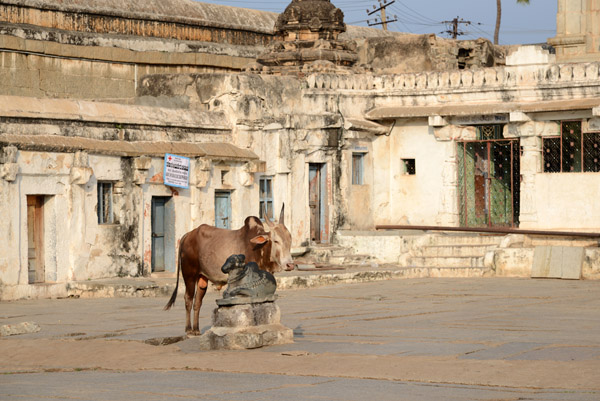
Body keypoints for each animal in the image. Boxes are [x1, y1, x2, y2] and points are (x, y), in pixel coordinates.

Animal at [164, 203, 296, 334]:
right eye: (276, 241)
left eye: (290, 240)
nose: (290, 264)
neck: (259, 249)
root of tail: (188, 235)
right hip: (189, 274)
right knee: (188, 299)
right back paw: (188, 329)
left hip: (202, 278)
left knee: (197, 302)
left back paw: (196, 329)